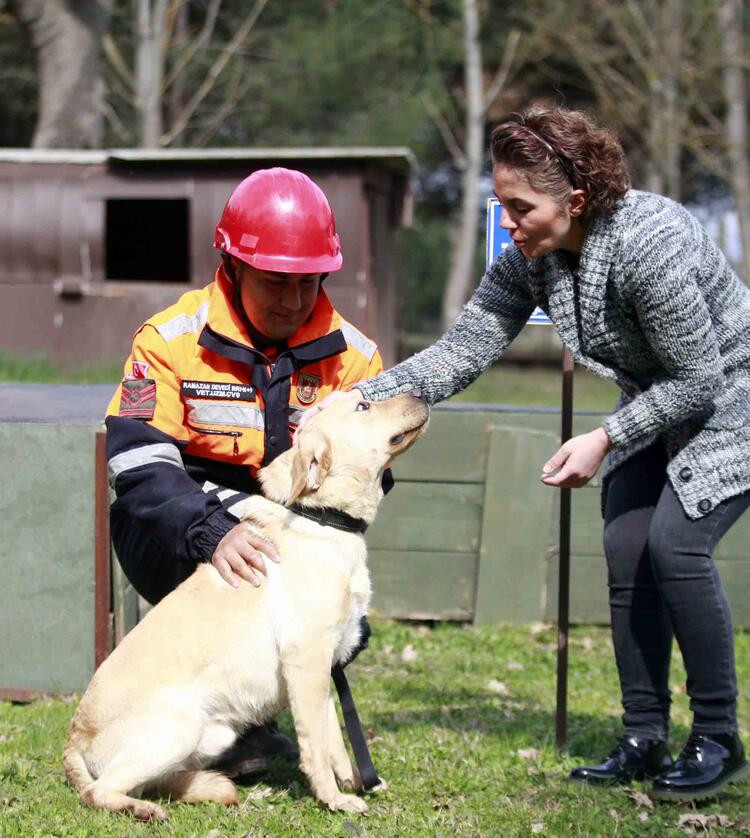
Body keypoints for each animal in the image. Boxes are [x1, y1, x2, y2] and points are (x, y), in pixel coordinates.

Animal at [63, 392, 428, 820]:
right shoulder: (306, 661)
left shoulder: (325, 667)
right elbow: (316, 747)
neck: (323, 520)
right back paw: (145, 810)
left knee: (160, 784)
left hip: (209, 738)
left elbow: (333, 739)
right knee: (99, 791)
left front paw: (351, 782)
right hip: (180, 726)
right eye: (363, 407)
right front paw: (333, 799)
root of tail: (72, 739)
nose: (420, 393)